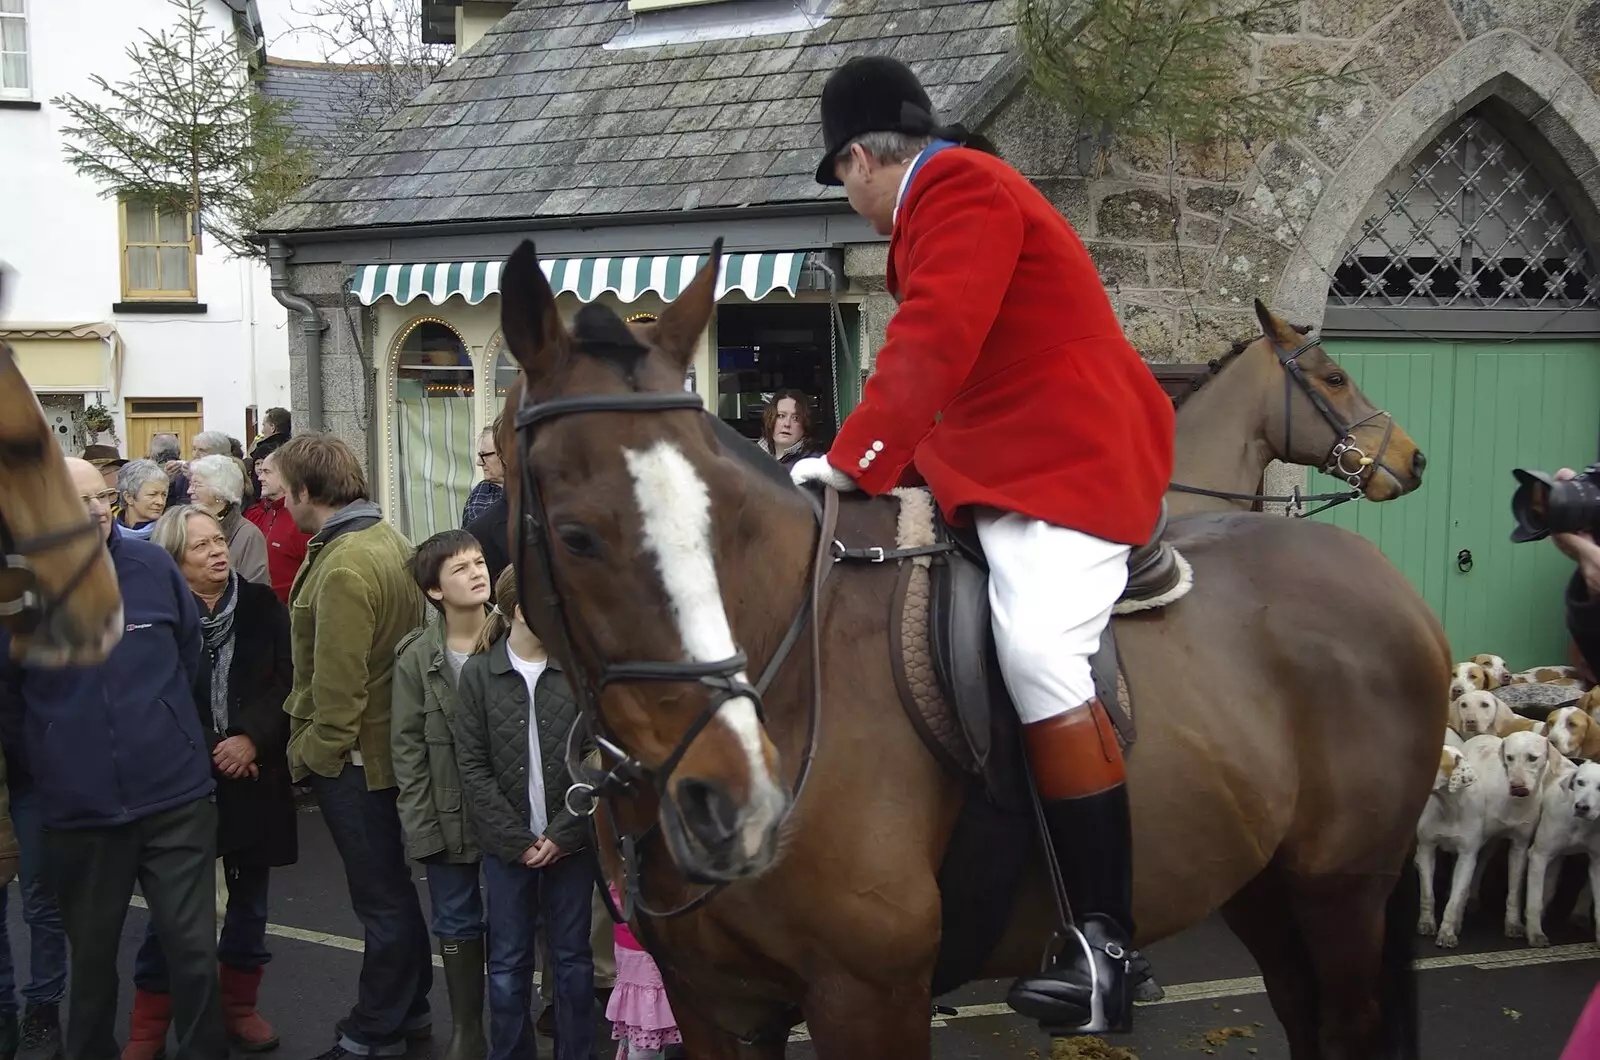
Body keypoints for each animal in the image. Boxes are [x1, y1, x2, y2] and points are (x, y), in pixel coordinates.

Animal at [502, 244, 1452, 1060]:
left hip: (1342, 891)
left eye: (728, 512)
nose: (1411, 459)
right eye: (577, 536)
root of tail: (1393, 586)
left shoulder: (867, 998)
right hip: (1267, 886)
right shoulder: (716, 1007)